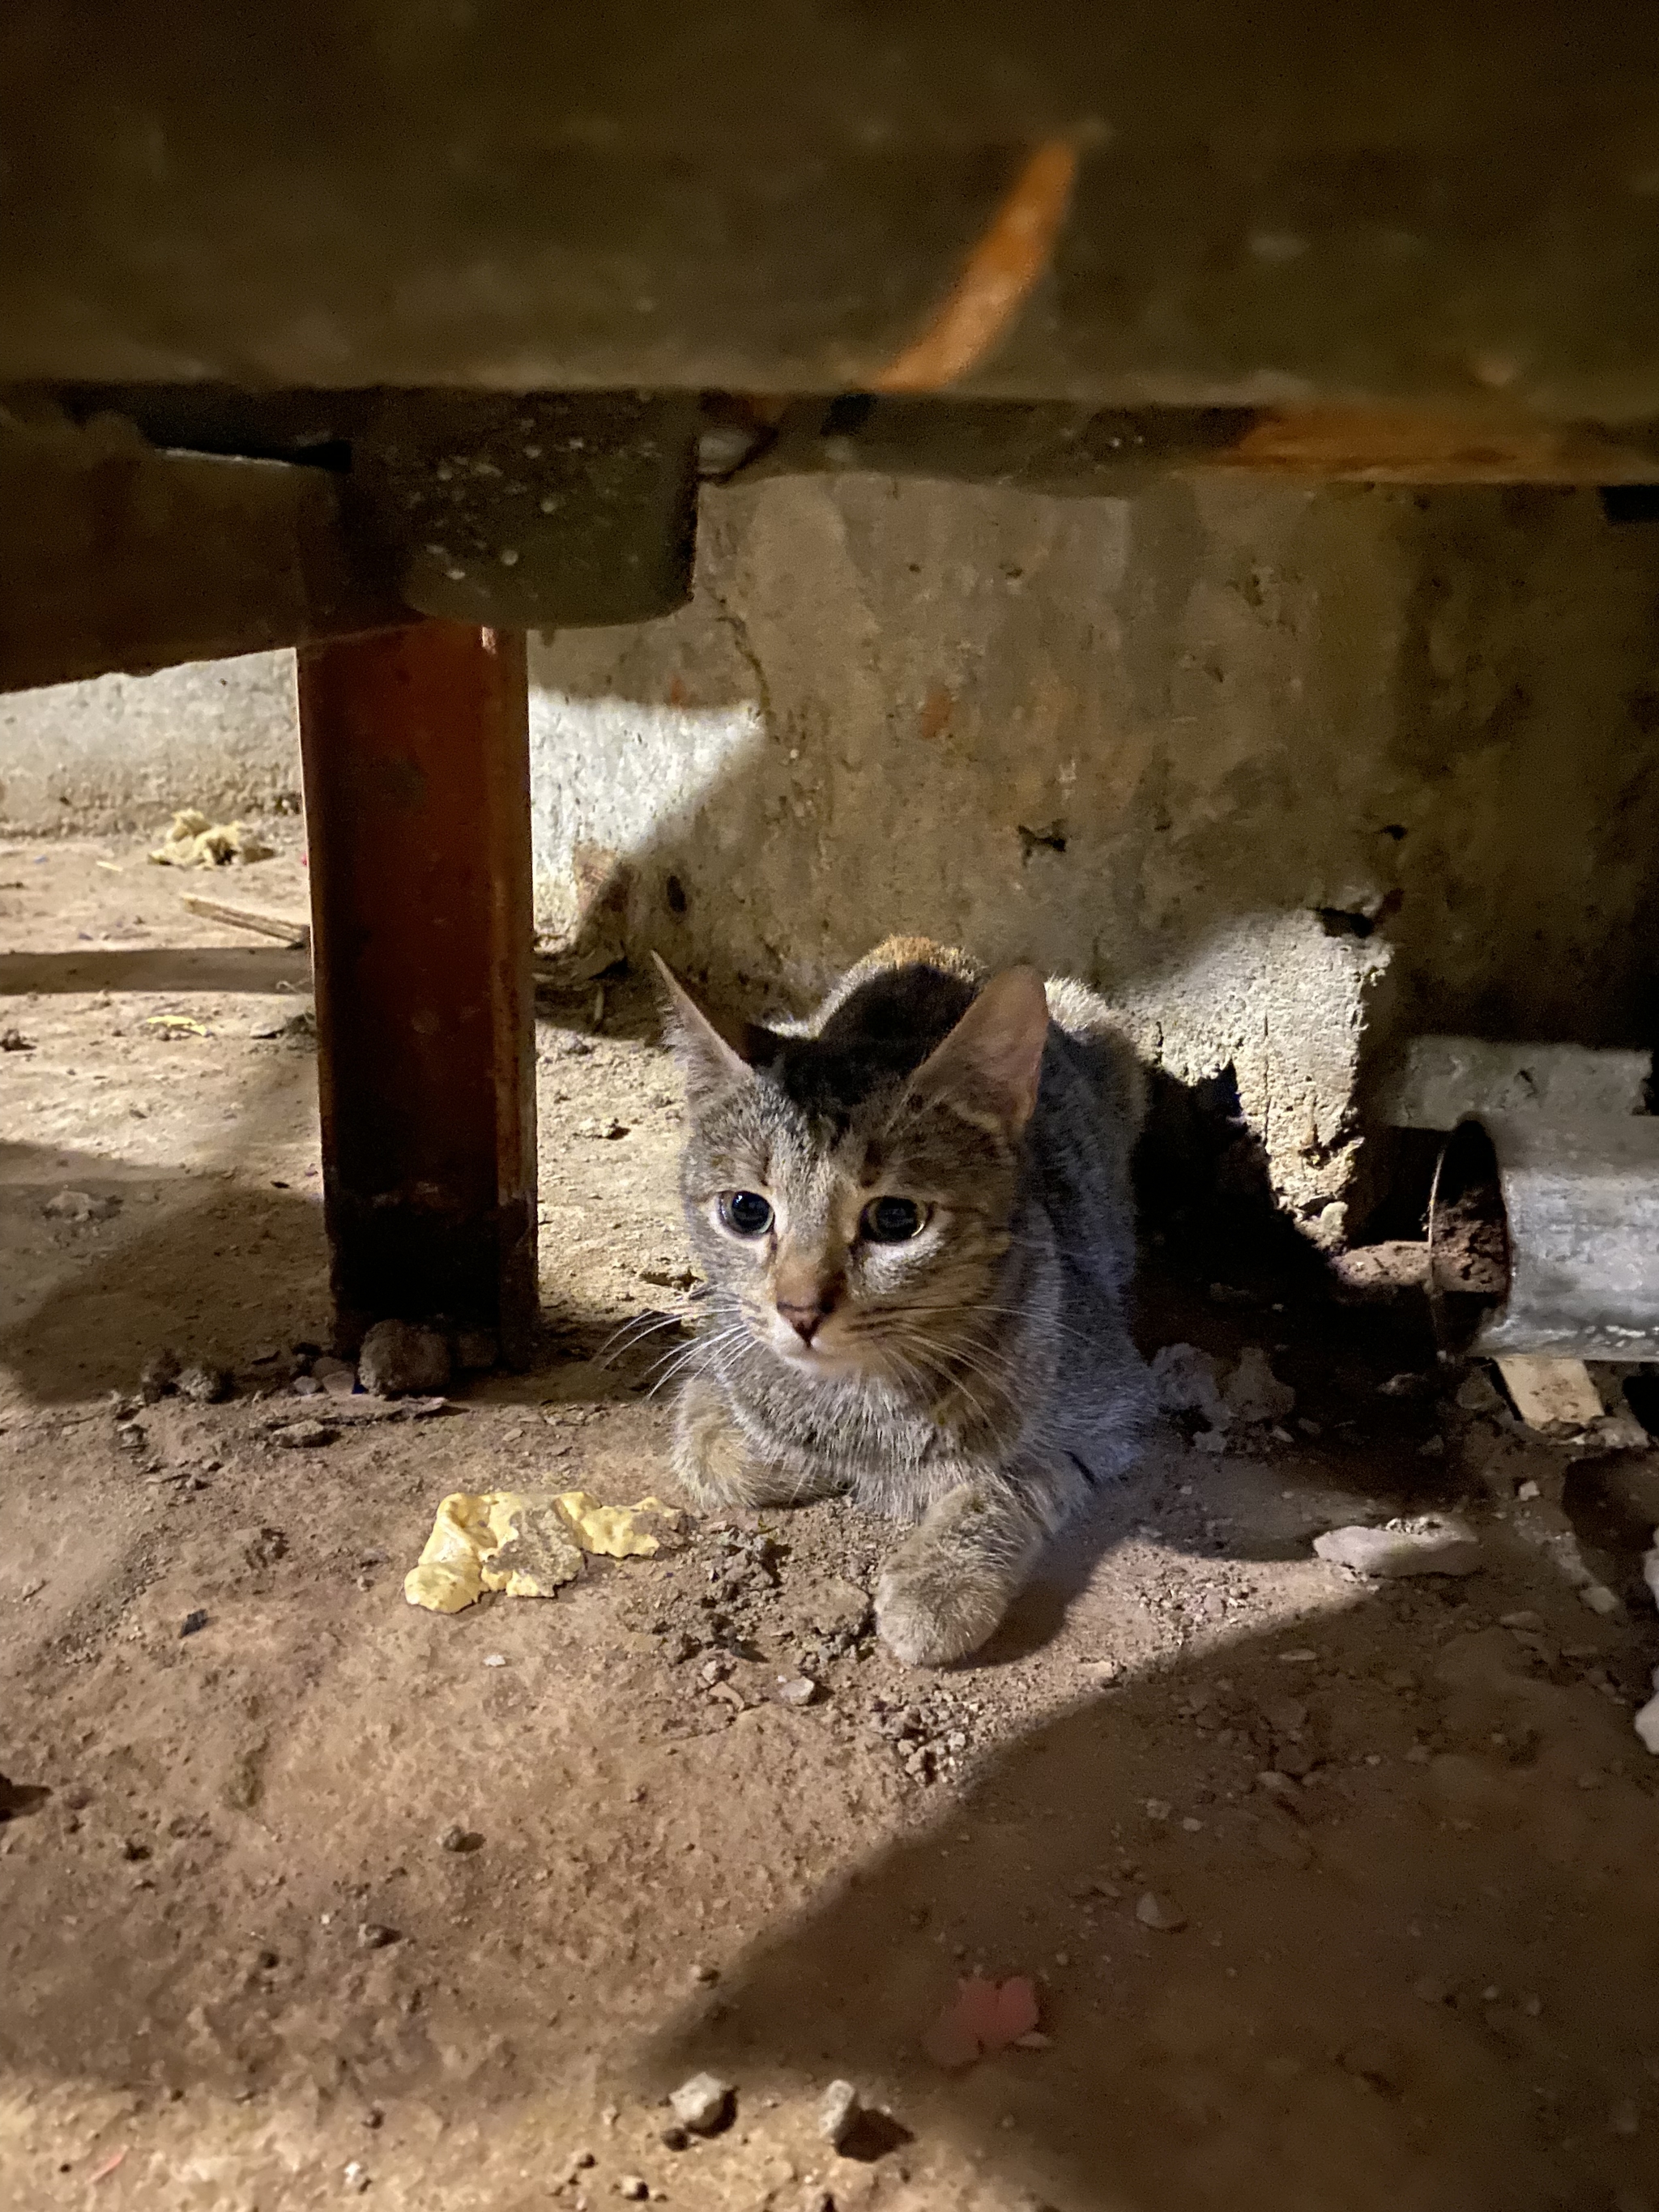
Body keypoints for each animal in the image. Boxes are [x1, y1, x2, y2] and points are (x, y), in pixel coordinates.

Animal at [655, 933, 1149, 1663]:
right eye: (745, 1210)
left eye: (895, 1219)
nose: (799, 1310)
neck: (861, 1392)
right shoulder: (714, 1352)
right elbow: (715, 1448)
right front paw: (798, 1459)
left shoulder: (1113, 1412)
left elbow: (1011, 1478)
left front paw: (938, 1581)